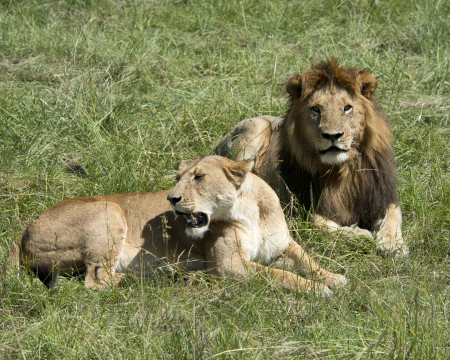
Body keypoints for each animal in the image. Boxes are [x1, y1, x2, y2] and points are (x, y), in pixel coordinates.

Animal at [7, 155, 346, 296]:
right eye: (178, 178)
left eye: (199, 177)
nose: (171, 198)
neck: (250, 210)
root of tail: (21, 234)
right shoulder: (228, 265)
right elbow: (279, 275)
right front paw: (318, 289)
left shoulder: (282, 244)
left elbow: (307, 260)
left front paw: (333, 277)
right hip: (109, 209)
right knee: (97, 279)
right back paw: (170, 279)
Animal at [216, 59, 410, 256]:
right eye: (316, 109)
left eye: (347, 108)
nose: (333, 135)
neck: (343, 170)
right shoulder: (305, 208)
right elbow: (321, 224)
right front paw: (361, 234)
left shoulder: (381, 198)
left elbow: (394, 216)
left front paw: (393, 243)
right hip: (255, 128)